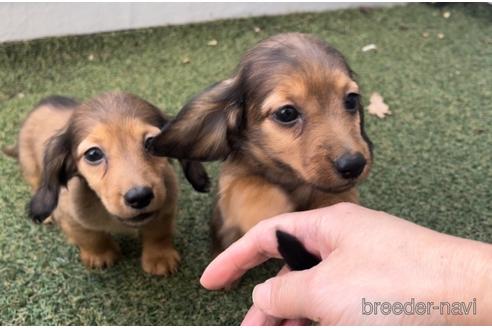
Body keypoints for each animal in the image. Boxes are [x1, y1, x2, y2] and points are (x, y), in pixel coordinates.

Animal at [5, 91, 209, 274]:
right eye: (93, 154)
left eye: (151, 142)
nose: (140, 197)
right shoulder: (71, 216)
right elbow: (90, 237)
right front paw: (100, 255)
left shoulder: (165, 208)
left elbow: (158, 233)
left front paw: (160, 257)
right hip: (31, 168)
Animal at [150, 33, 372, 252]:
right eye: (286, 113)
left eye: (351, 100)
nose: (354, 165)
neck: (288, 178)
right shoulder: (230, 189)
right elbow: (248, 186)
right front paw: (274, 212)